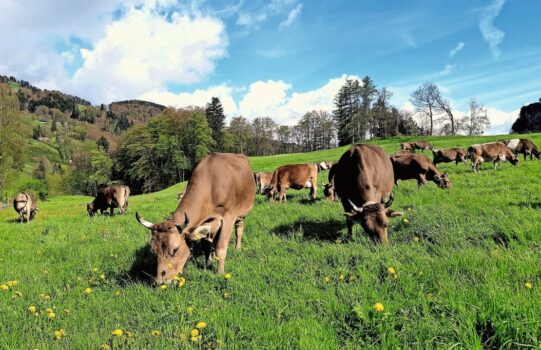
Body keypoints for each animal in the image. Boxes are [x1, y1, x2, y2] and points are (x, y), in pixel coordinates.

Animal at [134, 152, 254, 284]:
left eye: (175, 250)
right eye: (153, 251)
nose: (161, 282)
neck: (211, 184)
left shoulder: (228, 217)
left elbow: (221, 248)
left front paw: (219, 273)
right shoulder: (204, 222)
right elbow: (206, 246)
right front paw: (208, 264)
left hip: (242, 213)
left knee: (239, 229)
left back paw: (237, 248)